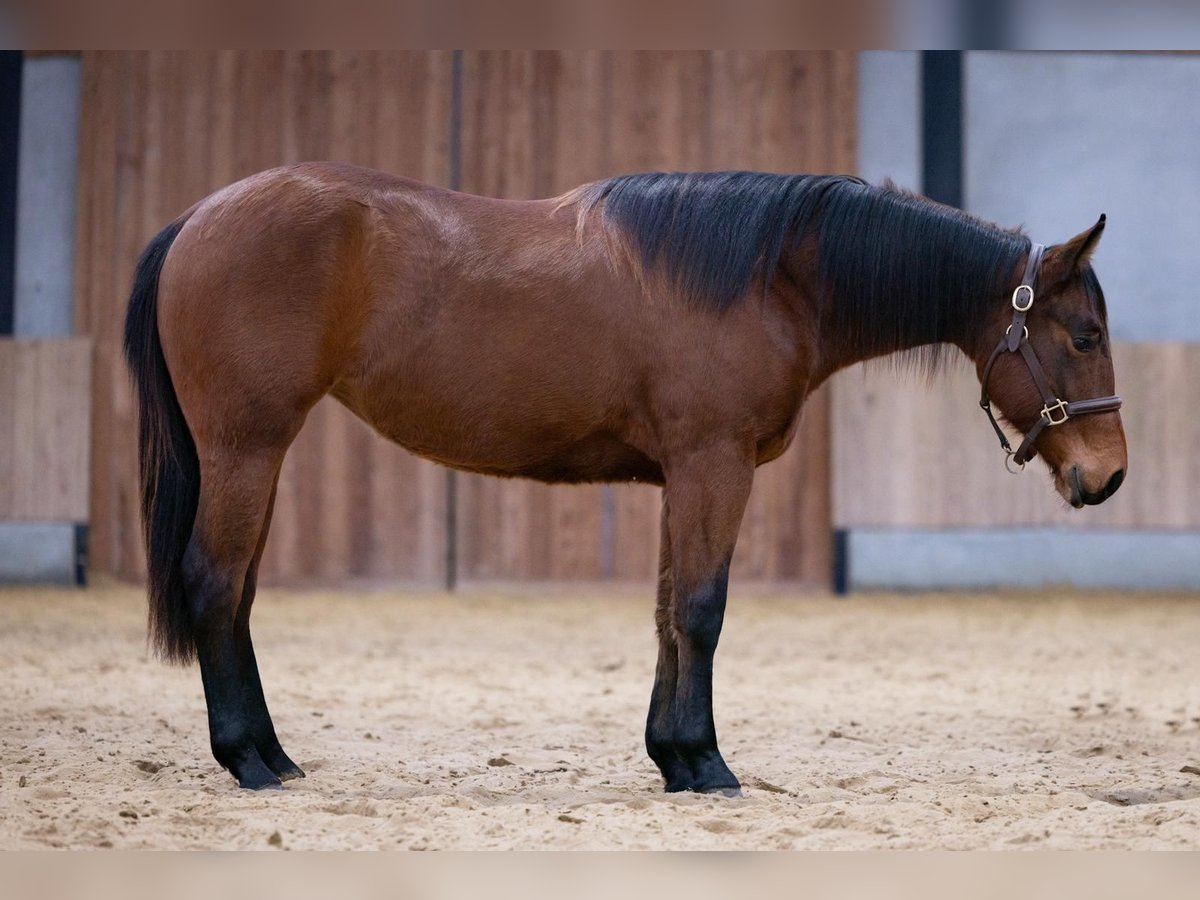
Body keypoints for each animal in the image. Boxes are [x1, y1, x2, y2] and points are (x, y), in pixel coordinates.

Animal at [121, 165, 1123, 792]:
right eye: (1083, 336)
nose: (1108, 476)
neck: (770, 276)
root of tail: (195, 221)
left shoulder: (686, 475)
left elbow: (669, 608)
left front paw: (672, 757)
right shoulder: (715, 465)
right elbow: (703, 611)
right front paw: (708, 765)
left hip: (255, 457)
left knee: (239, 595)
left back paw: (275, 755)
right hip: (248, 447)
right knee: (214, 584)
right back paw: (249, 761)